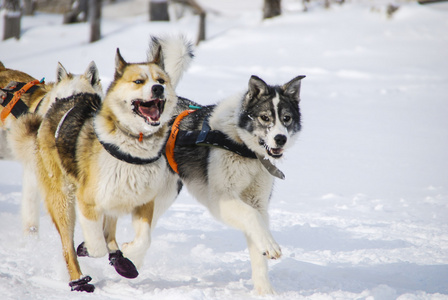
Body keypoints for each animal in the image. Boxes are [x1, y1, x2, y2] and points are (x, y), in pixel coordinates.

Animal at [31, 36, 192, 292]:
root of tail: (67, 100)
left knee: (109, 230)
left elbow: (143, 239)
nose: (158, 89)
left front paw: (127, 253)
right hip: (63, 199)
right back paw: (78, 280)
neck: (131, 145)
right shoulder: (87, 201)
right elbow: (96, 245)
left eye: (161, 80)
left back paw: (119, 259)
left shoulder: (144, 202)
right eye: (139, 81)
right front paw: (91, 248)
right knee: (68, 245)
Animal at [167, 74, 304, 294]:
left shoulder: (258, 202)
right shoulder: (220, 199)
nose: (281, 138)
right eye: (265, 117)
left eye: (286, 118)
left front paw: (265, 291)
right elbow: (251, 215)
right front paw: (270, 244)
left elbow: (258, 239)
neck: (244, 148)